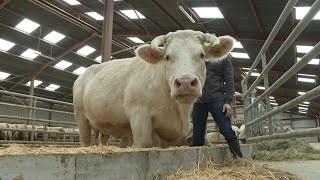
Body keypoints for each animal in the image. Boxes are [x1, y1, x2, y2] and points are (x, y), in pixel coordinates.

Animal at [73, 29, 235, 148]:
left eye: (202, 55)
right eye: (167, 57)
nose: (185, 82)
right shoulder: (138, 116)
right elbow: (145, 143)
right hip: (80, 116)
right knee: (85, 139)